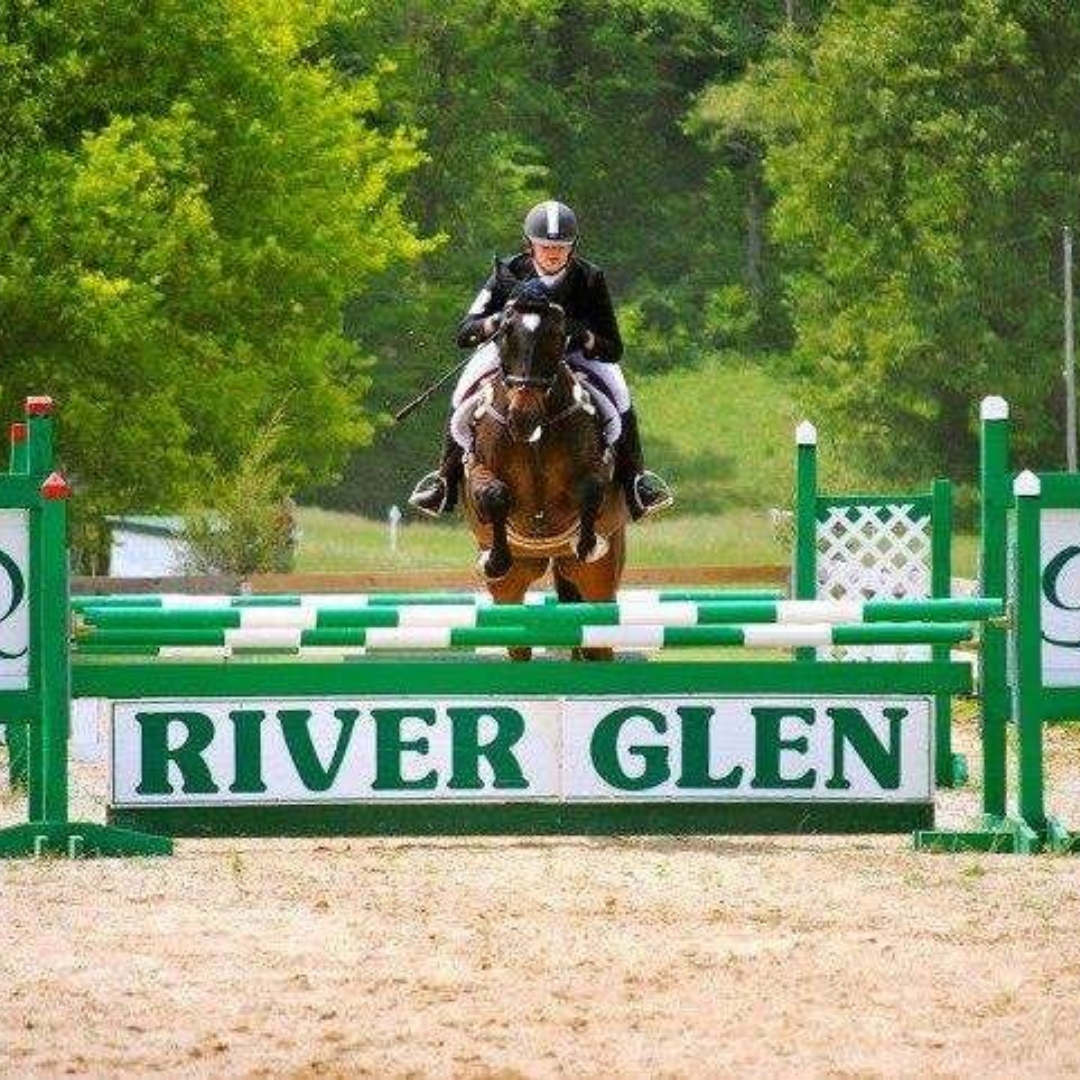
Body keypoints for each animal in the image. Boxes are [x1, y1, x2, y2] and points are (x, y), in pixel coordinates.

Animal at [462, 291, 630, 656]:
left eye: (556, 338)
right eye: (505, 335)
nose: (522, 419)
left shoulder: (597, 470)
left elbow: (590, 491)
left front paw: (586, 542)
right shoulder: (478, 470)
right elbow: (494, 494)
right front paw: (495, 558)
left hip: (599, 580)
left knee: (598, 643)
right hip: (513, 586)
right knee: (518, 642)